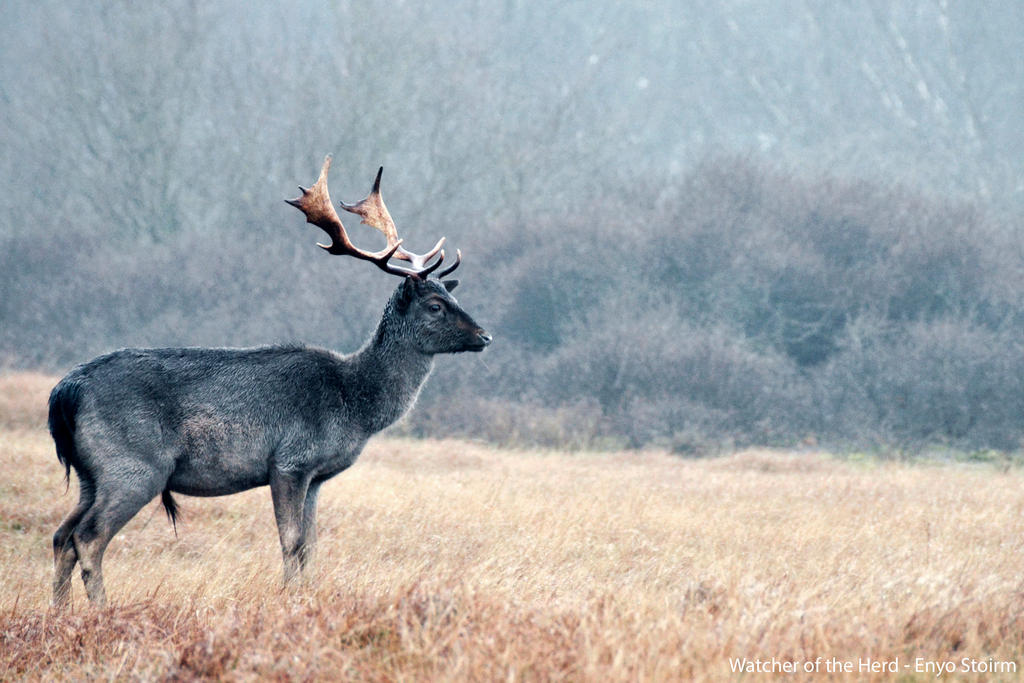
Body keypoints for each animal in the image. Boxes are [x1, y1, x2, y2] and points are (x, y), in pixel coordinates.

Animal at [48, 156, 491, 610]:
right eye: (435, 306)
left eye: (454, 297)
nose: (484, 336)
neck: (354, 402)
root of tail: (65, 392)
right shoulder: (290, 460)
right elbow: (291, 542)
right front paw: (290, 599)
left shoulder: (316, 476)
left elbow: (310, 545)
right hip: (133, 466)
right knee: (88, 537)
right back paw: (101, 610)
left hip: (91, 473)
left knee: (62, 535)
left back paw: (62, 612)